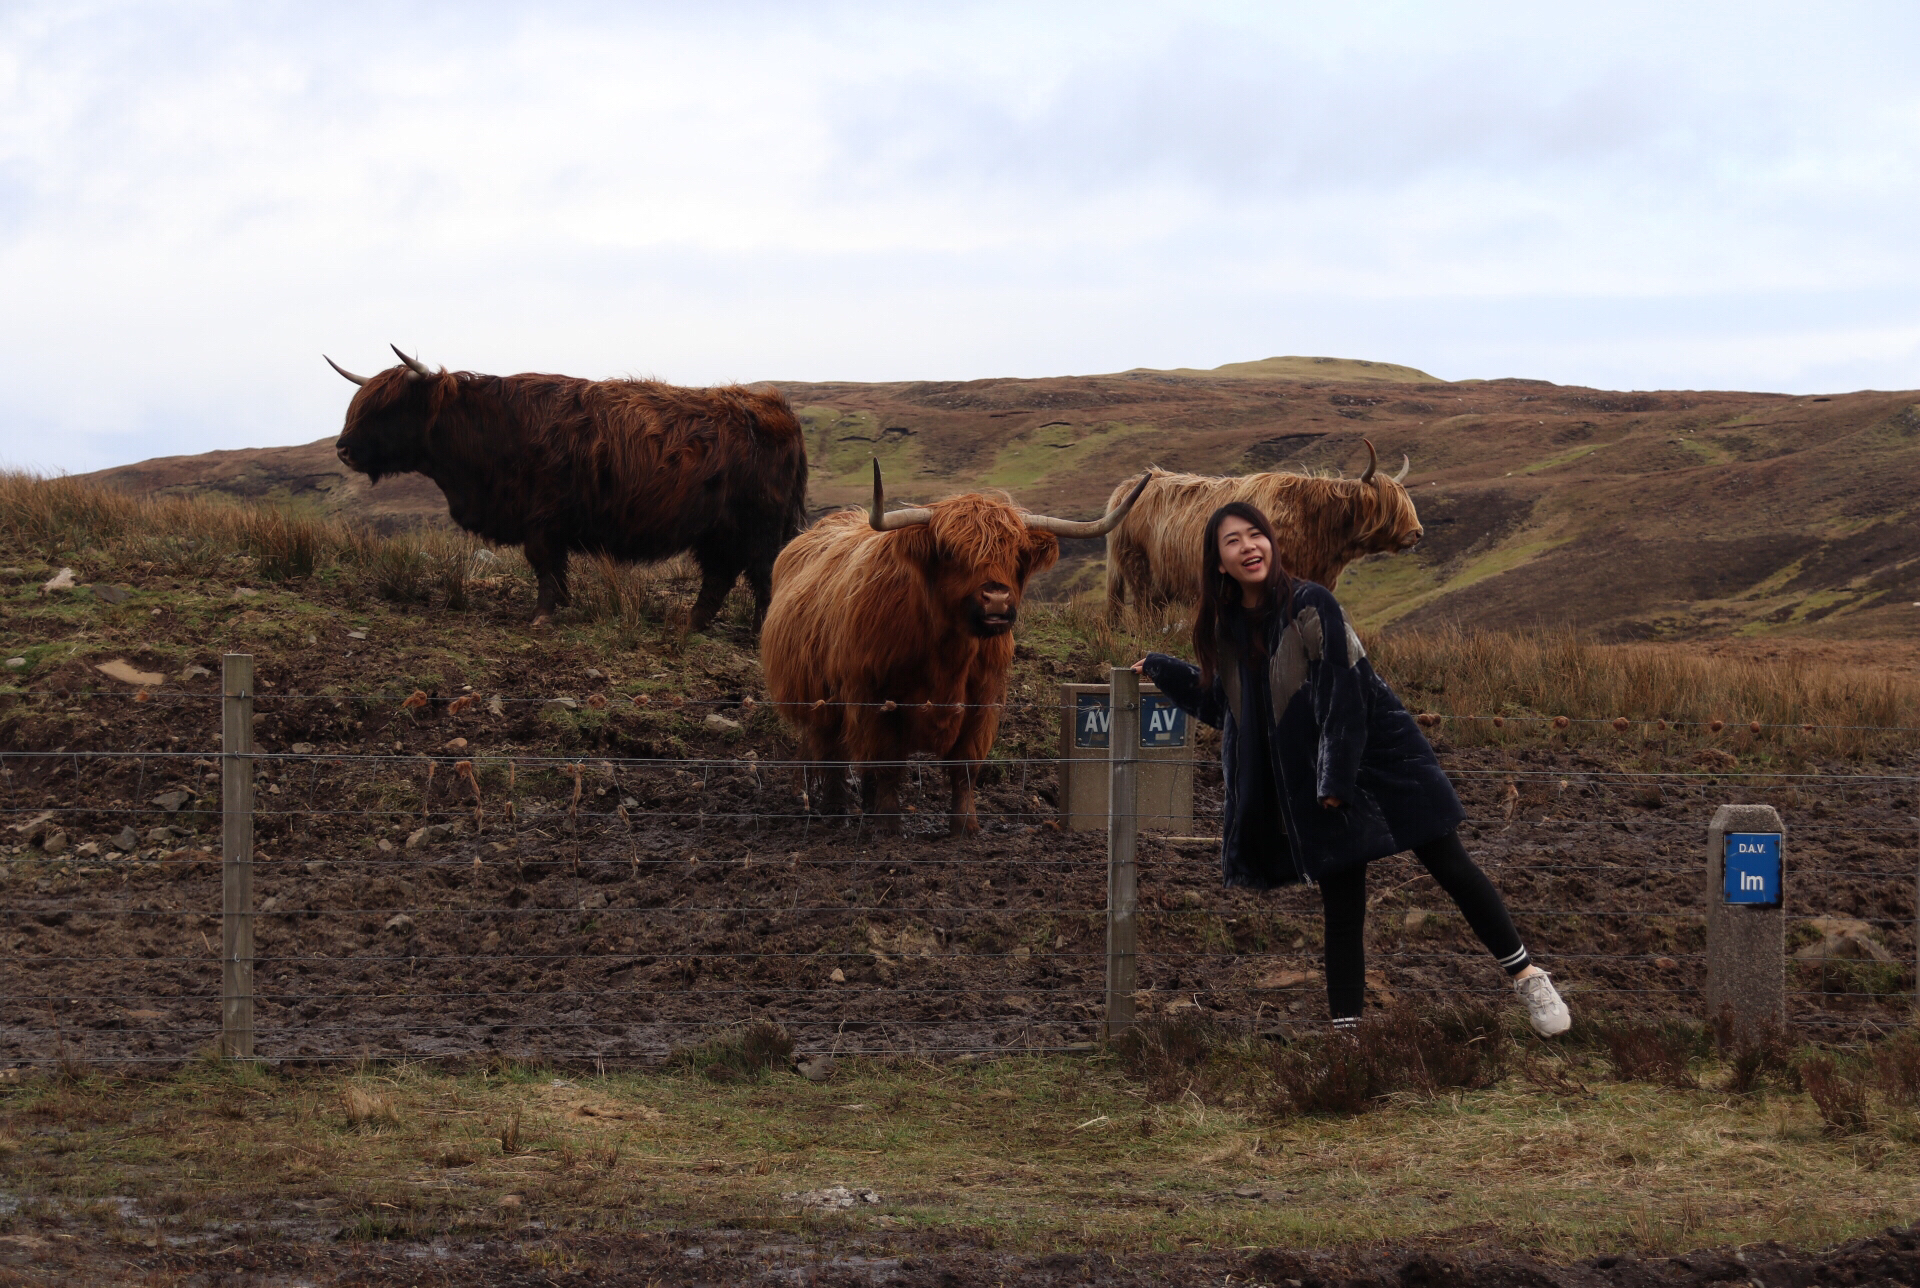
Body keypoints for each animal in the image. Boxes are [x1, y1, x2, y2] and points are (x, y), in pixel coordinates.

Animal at [326, 347, 806, 629]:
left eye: (387, 408)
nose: (343, 449)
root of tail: (775, 408)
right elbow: (553, 569)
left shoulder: (543, 517)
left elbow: (545, 566)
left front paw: (541, 616)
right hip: (719, 531)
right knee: (720, 576)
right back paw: (690, 625)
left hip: (759, 527)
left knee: (762, 574)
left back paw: (759, 630)